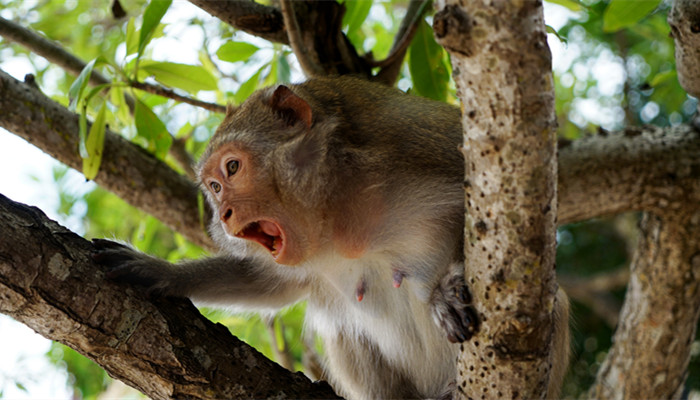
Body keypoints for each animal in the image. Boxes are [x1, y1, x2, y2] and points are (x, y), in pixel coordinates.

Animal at [91, 76, 568, 400]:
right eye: (213, 187)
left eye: (232, 168)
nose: (224, 216)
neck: (338, 211)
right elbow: (272, 284)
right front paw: (161, 273)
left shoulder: (423, 145)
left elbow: (515, 224)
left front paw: (448, 290)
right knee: (343, 329)